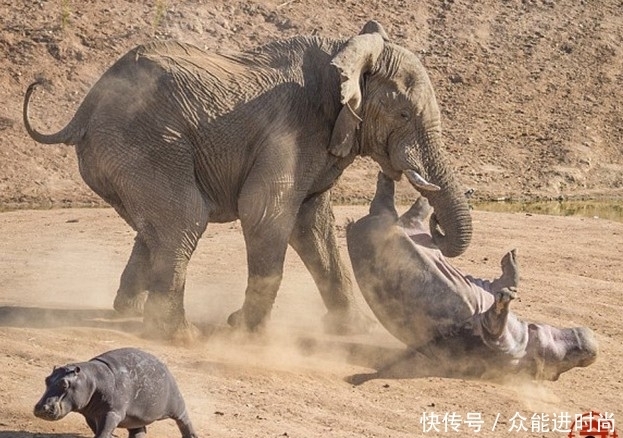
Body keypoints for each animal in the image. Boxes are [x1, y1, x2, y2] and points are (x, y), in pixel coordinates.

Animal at [23, 20, 472, 340]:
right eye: (404, 115)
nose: (435, 224)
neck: (346, 51)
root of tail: (85, 108)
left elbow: (313, 225)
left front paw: (355, 330)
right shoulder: (292, 129)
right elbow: (265, 212)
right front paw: (244, 331)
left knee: (156, 227)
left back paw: (126, 312)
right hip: (144, 143)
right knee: (185, 219)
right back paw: (179, 335)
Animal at [34, 348, 195, 436]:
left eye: (65, 384)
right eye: (46, 379)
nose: (41, 408)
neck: (91, 379)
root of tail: (163, 364)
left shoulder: (112, 413)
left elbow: (104, 430)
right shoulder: (90, 414)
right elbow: (97, 428)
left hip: (177, 403)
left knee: (185, 421)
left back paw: (192, 435)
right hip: (135, 418)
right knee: (138, 432)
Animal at [348, 173, 596, 382]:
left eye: (563, 364)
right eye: (569, 360)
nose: (591, 349)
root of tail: (355, 227)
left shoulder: (496, 341)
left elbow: (494, 322)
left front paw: (505, 298)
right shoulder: (490, 294)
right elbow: (506, 282)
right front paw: (511, 263)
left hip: (389, 223)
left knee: (401, 207)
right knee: (407, 208)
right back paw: (464, 193)